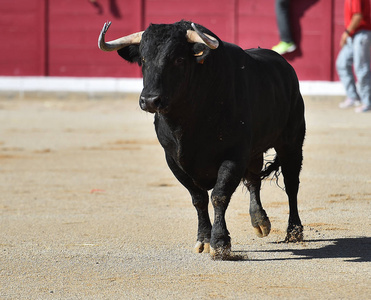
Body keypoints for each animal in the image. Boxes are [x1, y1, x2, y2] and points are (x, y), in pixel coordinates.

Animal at [98, 19, 306, 258]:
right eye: (142, 59)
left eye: (179, 59)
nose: (150, 100)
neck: (188, 122)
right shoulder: (173, 159)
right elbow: (198, 199)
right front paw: (204, 240)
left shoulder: (234, 155)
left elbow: (219, 195)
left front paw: (220, 243)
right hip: (254, 150)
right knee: (253, 180)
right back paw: (260, 221)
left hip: (292, 142)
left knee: (291, 184)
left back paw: (294, 231)